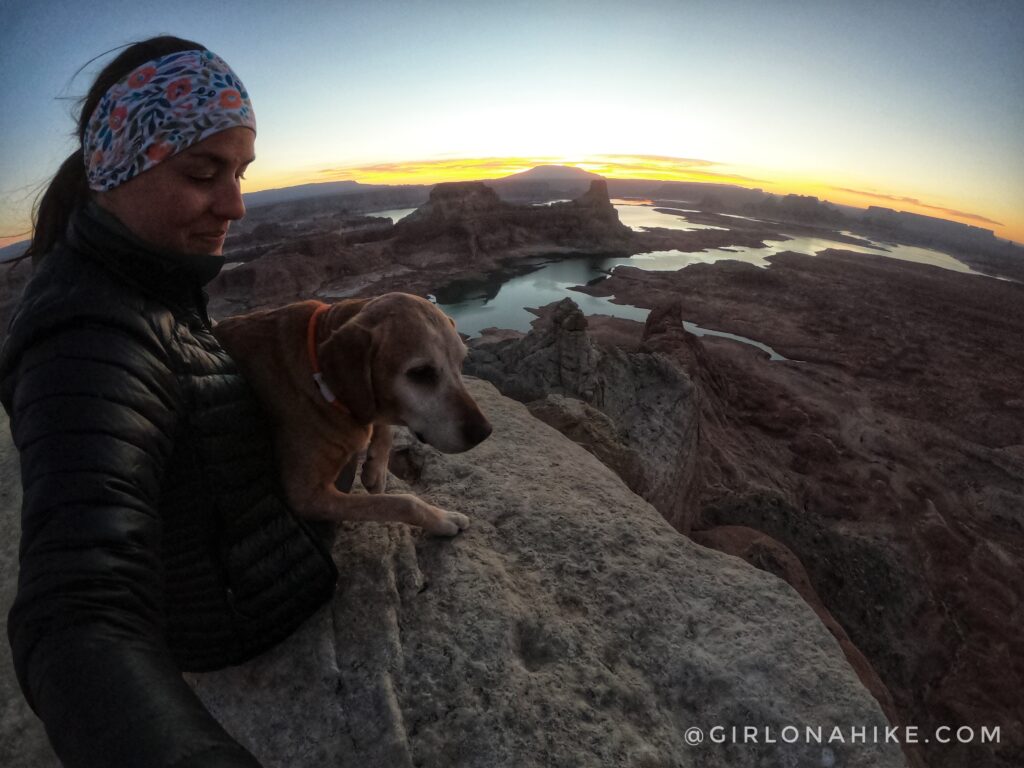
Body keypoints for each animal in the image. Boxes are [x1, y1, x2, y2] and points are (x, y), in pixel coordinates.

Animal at [212, 290, 491, 536]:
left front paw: (376, 470)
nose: (484, 432)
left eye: (461, 363)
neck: (320, 378)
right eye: (420, 372)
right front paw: (443, 518)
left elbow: (382, 427)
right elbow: (402, 502)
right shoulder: (306, 496)